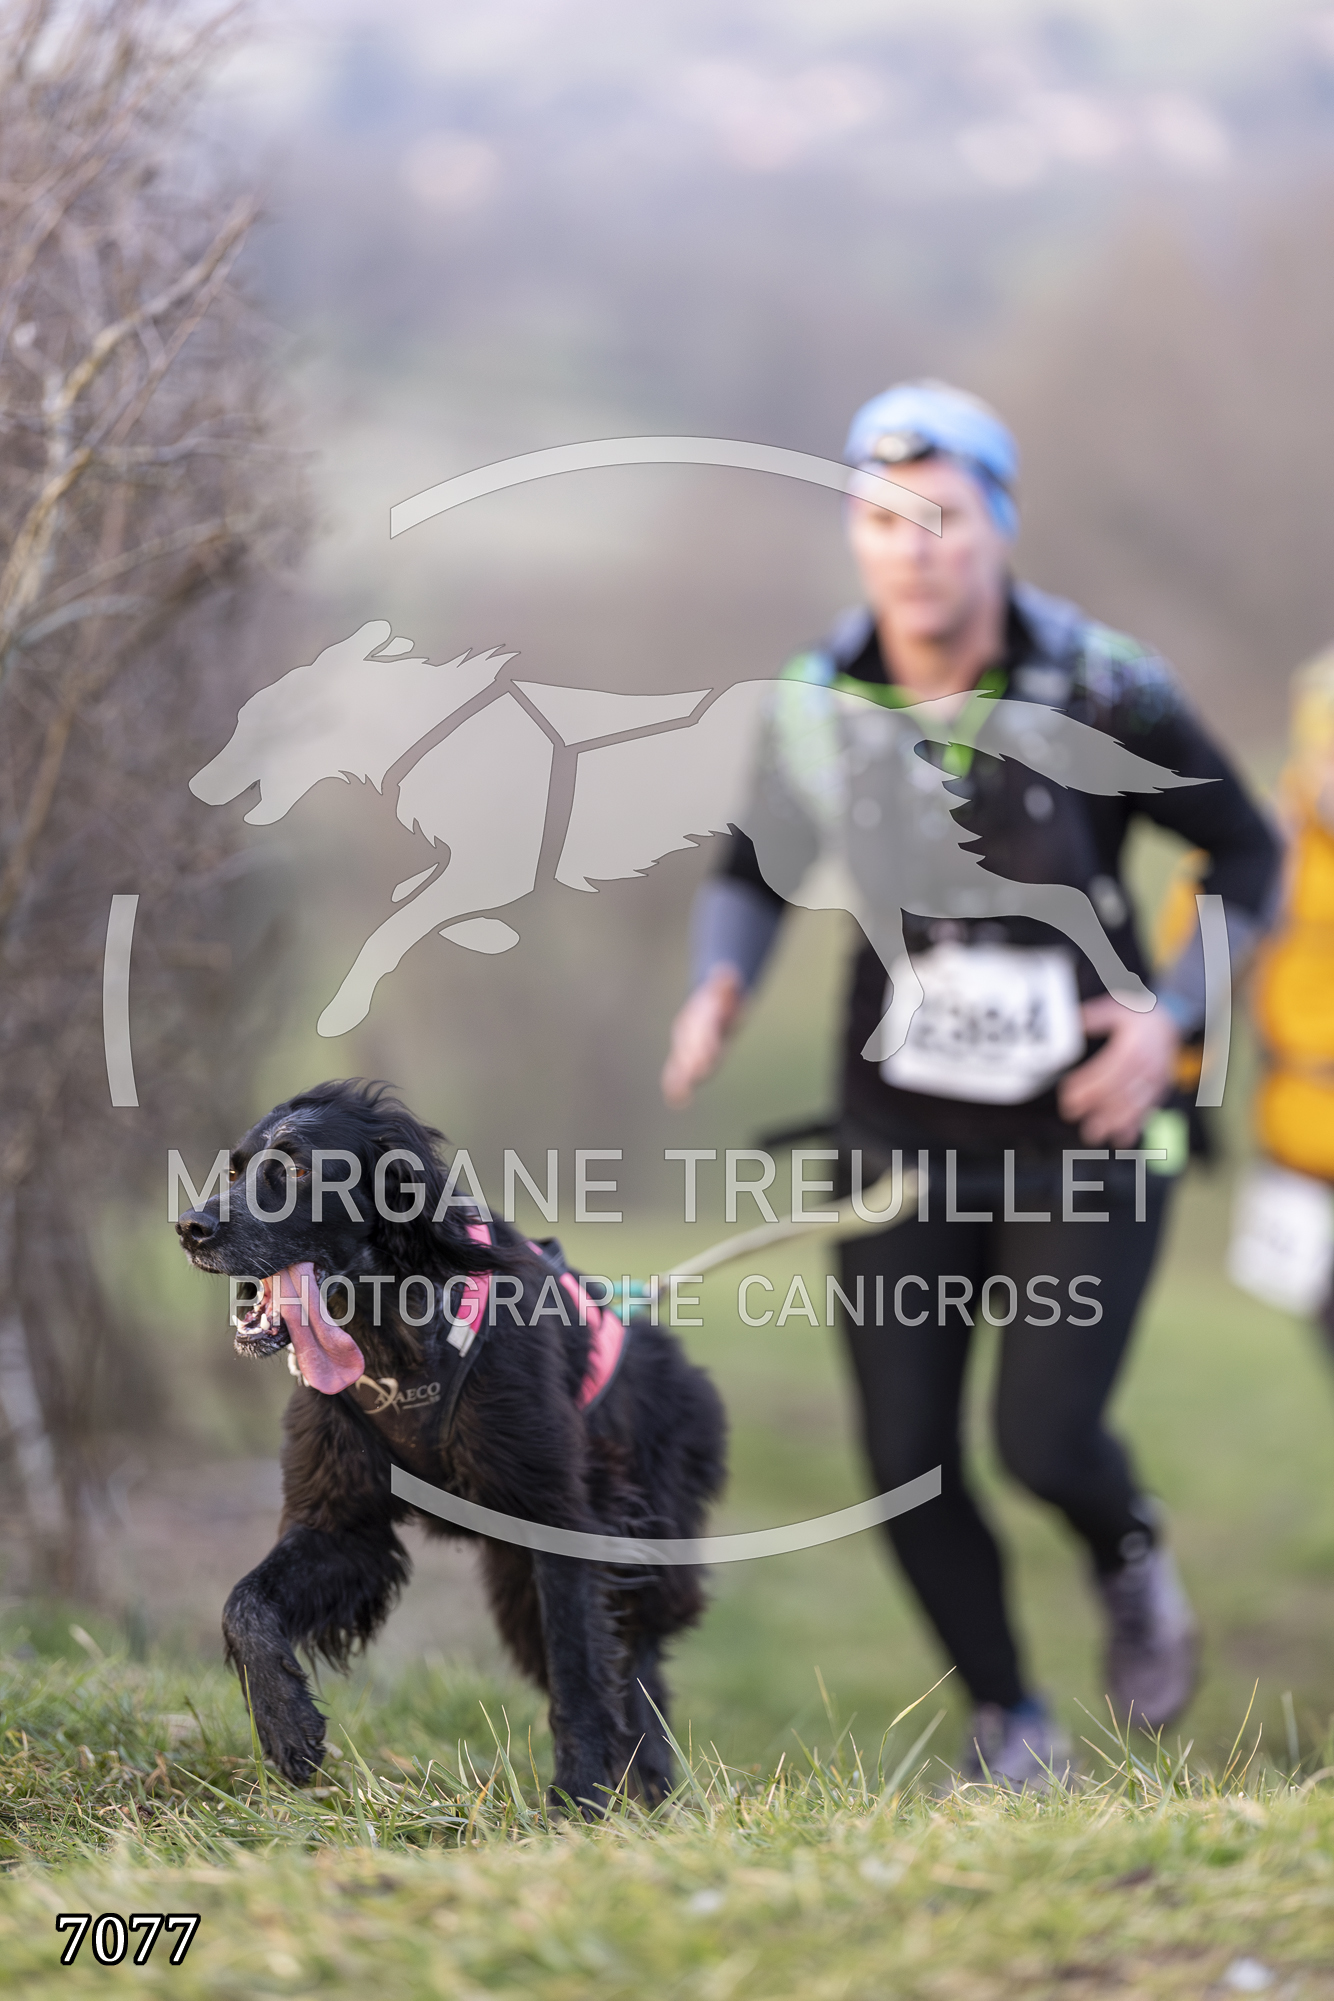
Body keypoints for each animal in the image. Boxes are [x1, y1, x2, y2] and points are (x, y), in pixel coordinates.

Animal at [174, 1079, 727, 1815]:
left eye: (294, 1169)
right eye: (234, 1170)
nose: (189, 1228)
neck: (394, 1336)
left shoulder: (561, 1521)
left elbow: (580, 1673)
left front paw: (579, 1800)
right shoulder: (342, 1528)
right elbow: (245, 1604)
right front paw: (287, 1726)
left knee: (632, 1663)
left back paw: (656, 1794)